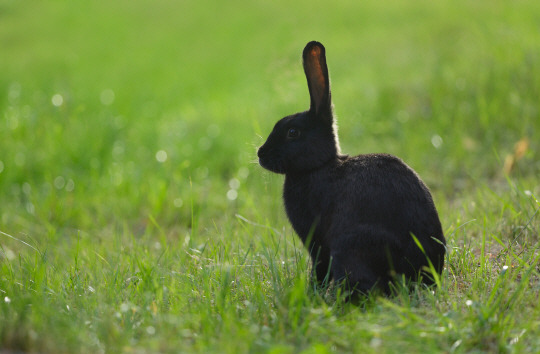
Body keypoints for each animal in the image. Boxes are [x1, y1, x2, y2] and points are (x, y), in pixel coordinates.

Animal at [258, 41, 448, 294]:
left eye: (292, 132)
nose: (260, 154)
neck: (320, 166)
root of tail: (422, 273)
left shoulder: (318, 242)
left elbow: (319, 267)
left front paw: (313, 290)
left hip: (352, 246)